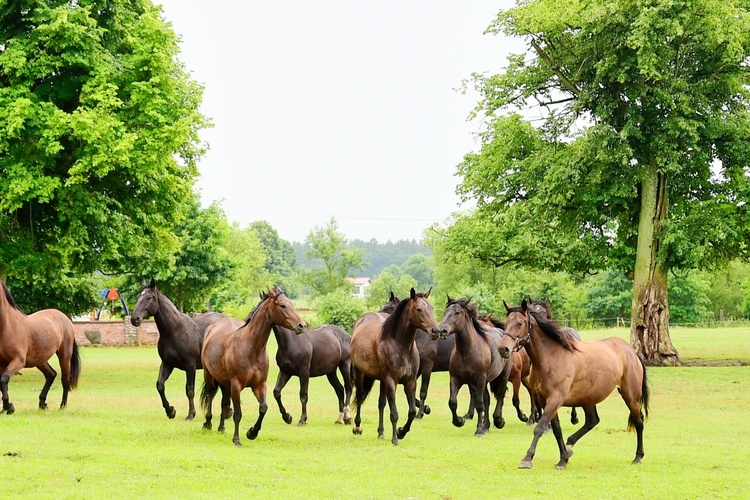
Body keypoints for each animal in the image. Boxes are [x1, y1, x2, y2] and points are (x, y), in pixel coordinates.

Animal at [0, 280, 81, 412]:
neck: (8, 326)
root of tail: (65, 318)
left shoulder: (18, 361)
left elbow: (4, 378)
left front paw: (9, 407)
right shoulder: (2, 363)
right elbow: (2, 382)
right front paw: (5, 408)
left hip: (64, 356)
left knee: (65, 380)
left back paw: (62, 406)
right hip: (39, 360)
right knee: (51, 375)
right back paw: (42, 403)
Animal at [201, 288, 306, 448]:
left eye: (292, 304)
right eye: (282, 305)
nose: (302, 326)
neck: (251, 348)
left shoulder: (259, 385)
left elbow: (263, 408)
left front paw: (252, 432)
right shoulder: (237, 385)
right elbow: (238, 413)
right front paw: (237, 439)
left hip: (225, 383)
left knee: (223, 402)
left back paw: (221, 428)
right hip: (210, 376)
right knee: (210, 396)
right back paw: (207, 424)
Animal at [352, 290, 444, 446]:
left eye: (431, 308)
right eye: (418, 309)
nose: (435, 331)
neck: (402, 346)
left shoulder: (410, 382)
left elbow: (411, 411)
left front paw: (401, 432)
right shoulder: (391, 381)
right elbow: (394, 413)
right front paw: (395, 438)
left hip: (381, 380)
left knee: (381, 403)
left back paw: (381, 433)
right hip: (359, 373)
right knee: (359, 396)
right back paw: (357, 426)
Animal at [444, 294, 516, 436]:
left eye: (457, 312)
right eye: (446, 311)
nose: (441, 330)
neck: (466, 351)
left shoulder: (480, 379)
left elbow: (479, 404)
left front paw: (479, 430)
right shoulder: (456, 379)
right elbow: (452, 402)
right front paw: (459, 421)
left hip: (502, 376)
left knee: (500, 396)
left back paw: (498, 421)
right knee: (487, 400)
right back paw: (486, 425)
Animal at [506, 300, 652, 468]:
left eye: (520, 323)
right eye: (505, 322)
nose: (504, 348)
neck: (551, 358)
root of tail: (631, 352)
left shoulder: (555, 399)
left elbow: (540, 427)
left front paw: (527, 458)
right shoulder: (545, 401)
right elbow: (556, 430)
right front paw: (563, 458)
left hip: (630, 396)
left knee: (638, 421)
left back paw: (638, 456)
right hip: (588, 399)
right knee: (592, 421)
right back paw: (569, 446)